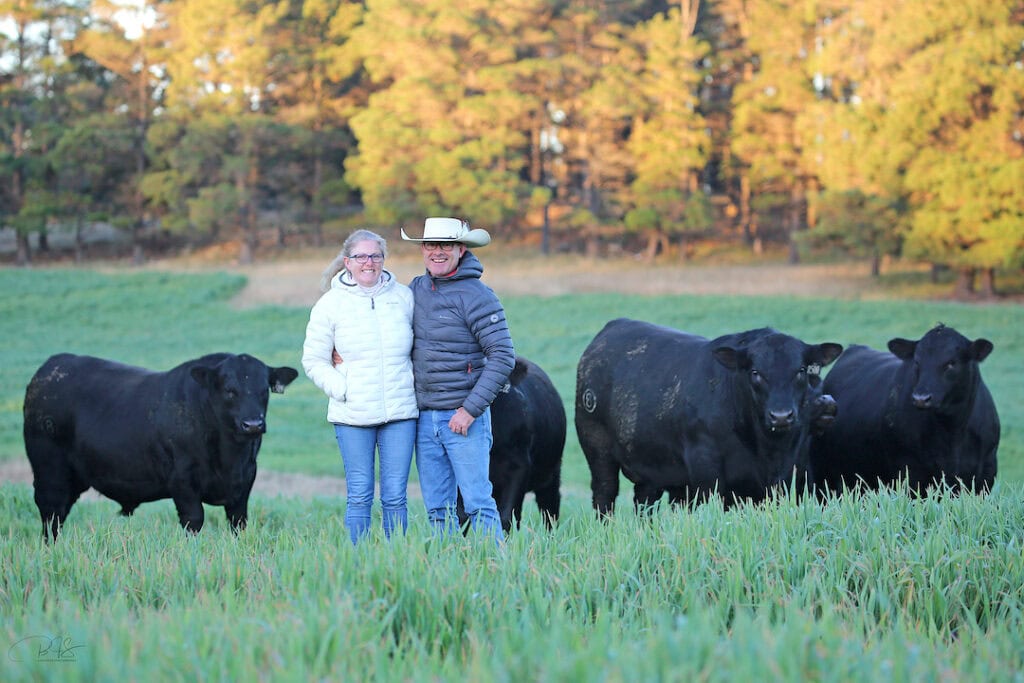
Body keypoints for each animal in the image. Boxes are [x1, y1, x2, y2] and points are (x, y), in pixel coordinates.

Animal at [22, 352, 299, 540]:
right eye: (229, 390)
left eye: (264, 389)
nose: (252, 424)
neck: (230, 457)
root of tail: (52, 367)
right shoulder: (183, 482)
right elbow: (193, 520)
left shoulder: (244, 482)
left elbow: (238, 523)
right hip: (50, 472)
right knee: (51, 512)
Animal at [577, 321, 839, 511]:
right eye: (755, 372)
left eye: (801, 370)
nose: (781, 416)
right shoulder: (705, 466)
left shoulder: (779, 476)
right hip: (597, 449)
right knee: (604, 494)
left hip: (651, 466)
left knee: (644, 502)